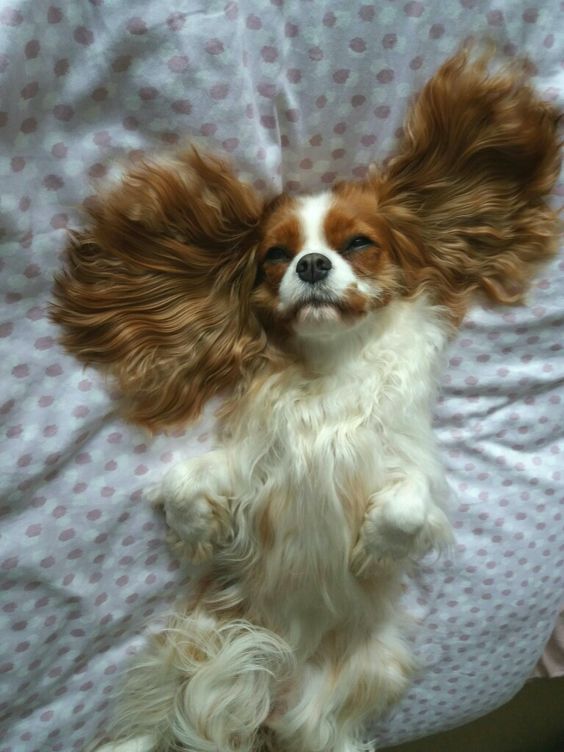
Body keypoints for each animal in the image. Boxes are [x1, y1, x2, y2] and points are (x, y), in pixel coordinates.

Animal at [50, 48, 560, 752]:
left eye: (358, 244)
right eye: (275, 255)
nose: (312, 265)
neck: (329, 373)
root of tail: (278, 701)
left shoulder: (415, 464)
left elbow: (406, 507)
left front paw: (377, 547)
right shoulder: (247, 462)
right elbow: (182, 483)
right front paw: (202, 532)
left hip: (360, 683)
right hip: (192, 652)